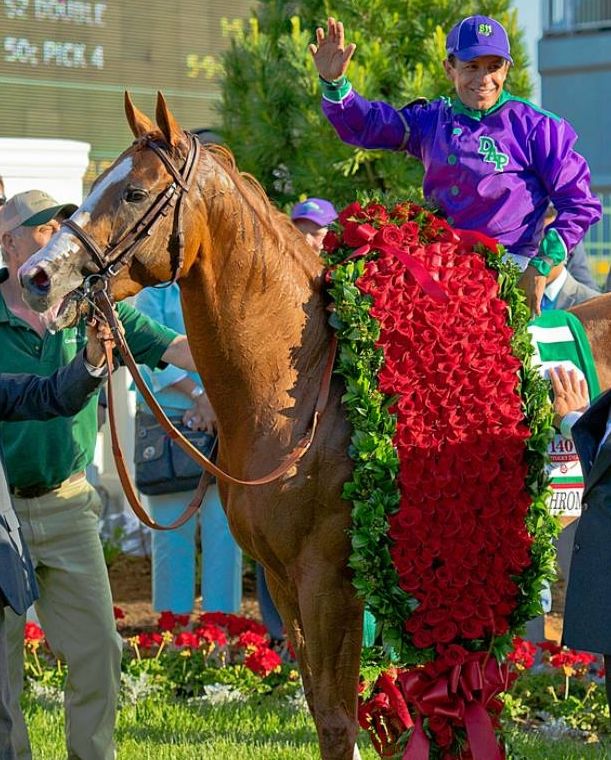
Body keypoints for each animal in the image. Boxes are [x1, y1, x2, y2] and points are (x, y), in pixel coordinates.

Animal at [19, 95, 364, 760]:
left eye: (132, 192)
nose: (35, 277)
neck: (307, 400)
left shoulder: (329, 582)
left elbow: (341, 721)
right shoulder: (284, 579)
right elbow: (326, 708)